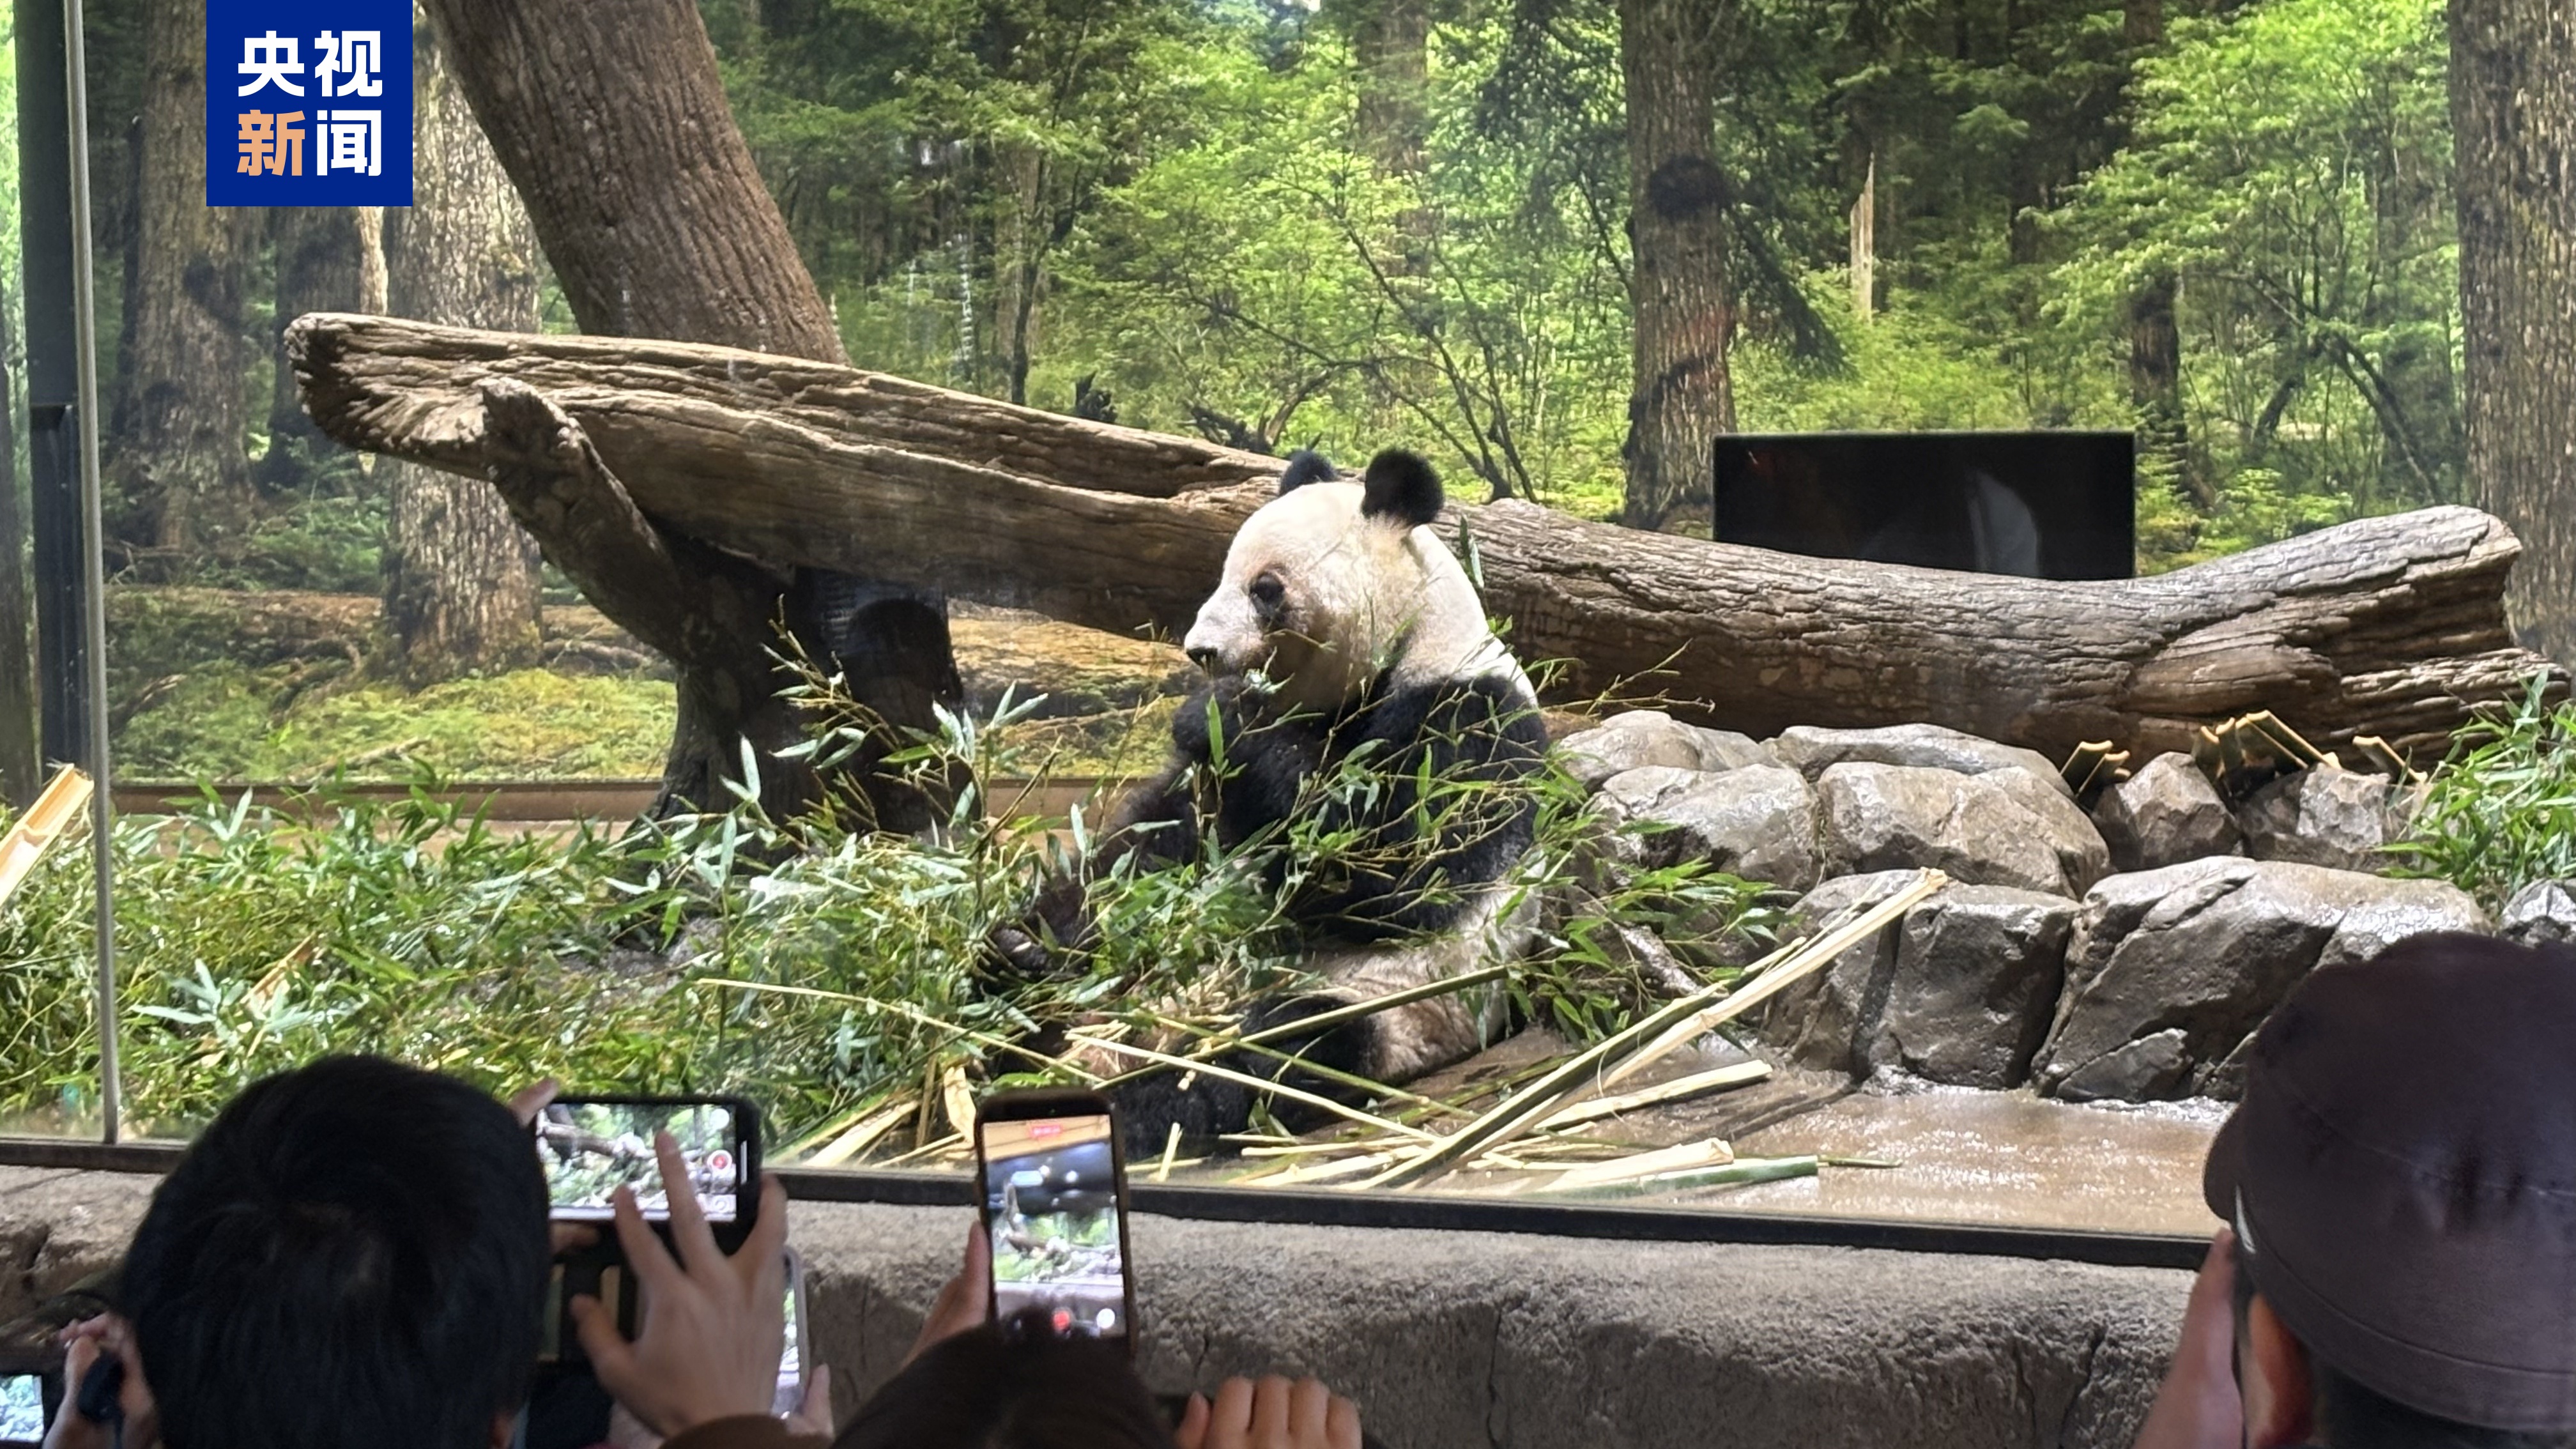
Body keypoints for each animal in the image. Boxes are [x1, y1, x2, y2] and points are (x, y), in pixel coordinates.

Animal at [993, 447, 1550, 1150]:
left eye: (1265, 588)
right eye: (1223, 575)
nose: (1201, 651)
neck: (1410, 642)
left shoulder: (1470, 714)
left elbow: (1399, 873)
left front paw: (1223, 714)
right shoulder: (1202, 798)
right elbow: (1152, 845)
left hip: (1390, 1004)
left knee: (1273, 1051)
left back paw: (1132, 1100)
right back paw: (1017, 964)